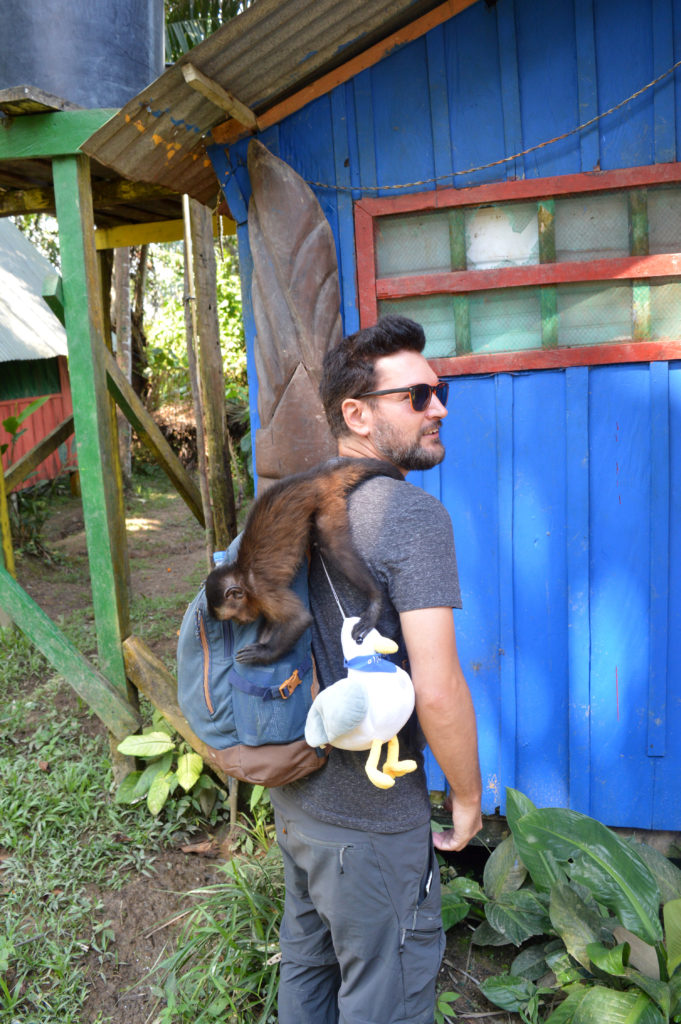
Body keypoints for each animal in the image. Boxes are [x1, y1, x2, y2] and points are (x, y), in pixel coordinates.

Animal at [204, 460, 401, 667]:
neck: (243, 578)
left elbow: (300, 619)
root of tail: (313, 478)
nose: (240, 622)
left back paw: (375, 597)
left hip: (324, 498)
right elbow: (274, 621)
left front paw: (263, 653)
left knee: (332, 544)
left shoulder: (263, 591)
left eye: (233, 617)